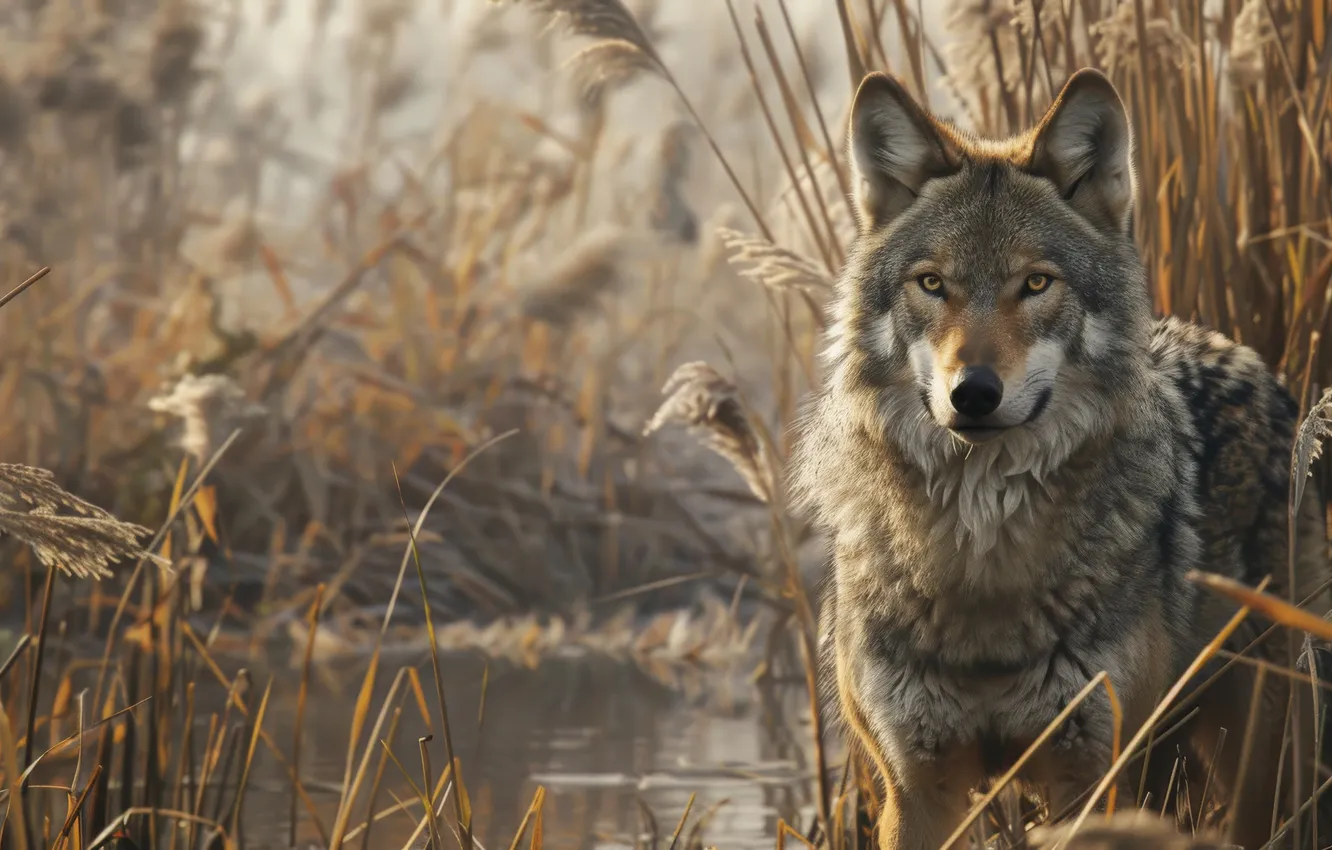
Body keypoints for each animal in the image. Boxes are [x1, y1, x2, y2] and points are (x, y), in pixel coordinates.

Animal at [789, 67, 1331, 850]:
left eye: (1037, 283)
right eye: (933, 284)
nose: (973, 393)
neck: (983, 564)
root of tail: (1249, 358)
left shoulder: (1090, 781)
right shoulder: (914, 789)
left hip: (1263, 757)